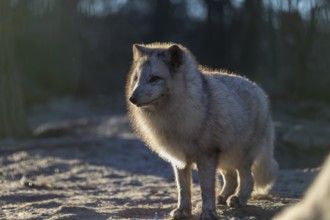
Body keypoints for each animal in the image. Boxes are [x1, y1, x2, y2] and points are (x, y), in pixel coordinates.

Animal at [125, 43, 278, 220]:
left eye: (154, 78)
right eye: (136, 78)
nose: (132, 99)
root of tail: (260, 91)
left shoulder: (206, 156)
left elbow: (206, 189)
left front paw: (208, 212)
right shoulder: (179, 160)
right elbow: (183, 189)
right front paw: (183, 210)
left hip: (239, 156)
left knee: (248, 178)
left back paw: (238, 199)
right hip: (225, 158)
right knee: (231, 177)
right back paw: (223, 197)